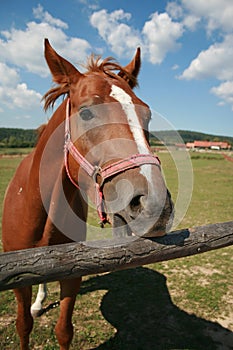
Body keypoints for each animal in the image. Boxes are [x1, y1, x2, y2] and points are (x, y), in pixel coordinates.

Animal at [1, 39, 173, 350]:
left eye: (147, 115)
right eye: (86, 112)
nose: (155, 204)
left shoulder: (72, 274)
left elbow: (64, 330)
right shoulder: (17, 279)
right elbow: (23, 325)